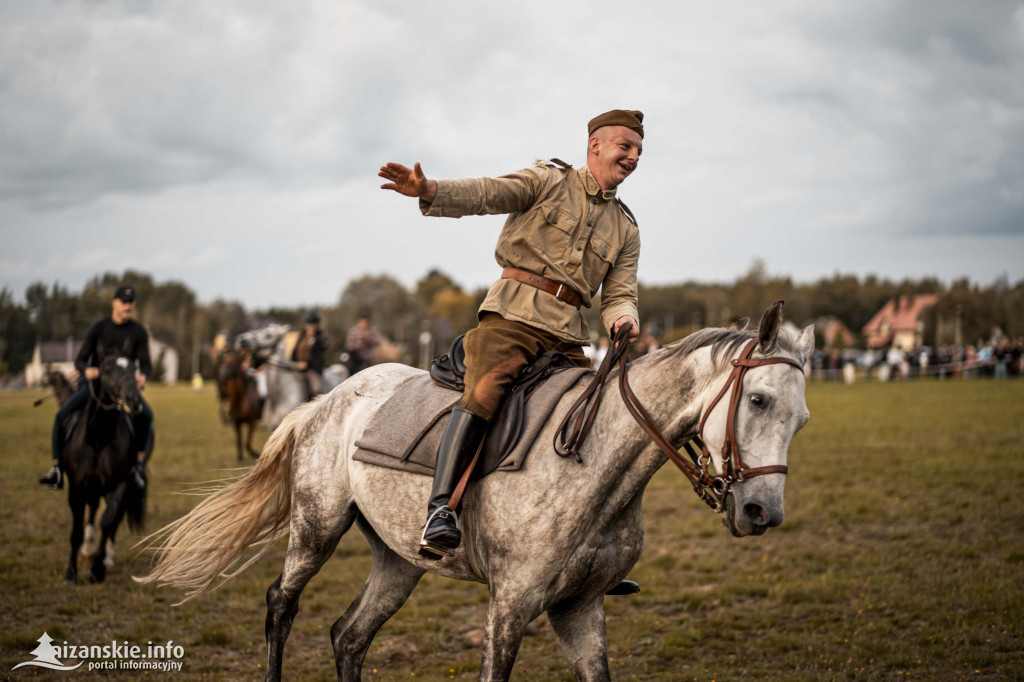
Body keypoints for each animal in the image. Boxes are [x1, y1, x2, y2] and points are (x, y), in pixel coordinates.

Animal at [138, 303, 806, 679]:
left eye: (800, 420)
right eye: (757, 399)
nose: (761, 512)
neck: (595, 462)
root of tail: (326, 399)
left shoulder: (580, 608)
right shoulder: (510, 606)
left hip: (398, 560)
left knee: (349, 637)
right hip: (316, 527)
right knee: (281, 605)